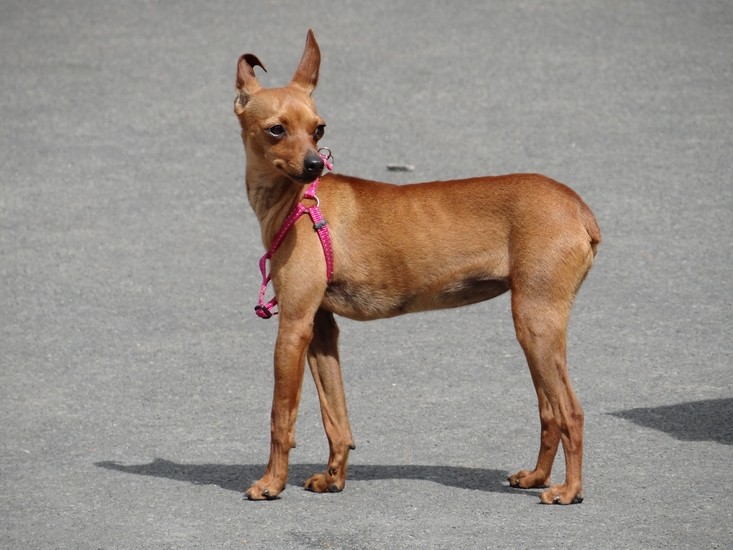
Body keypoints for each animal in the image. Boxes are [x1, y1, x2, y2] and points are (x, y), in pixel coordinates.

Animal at [234, 29, 600, 504]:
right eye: (277, 129)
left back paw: (568, 490)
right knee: (549, 412)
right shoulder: (320, 329)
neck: (297, 202)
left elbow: (281, 416)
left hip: (536, 323)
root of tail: (579, 209)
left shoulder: (293, 326)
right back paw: (537, 476)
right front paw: (333, 479)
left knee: (570, 411)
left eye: (319, 129)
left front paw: (271, 483)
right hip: (537, 329)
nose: (315, 164)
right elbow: (337, 417)